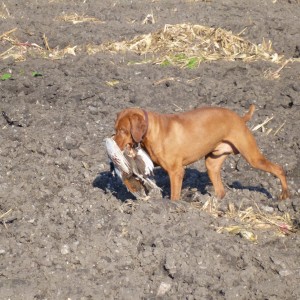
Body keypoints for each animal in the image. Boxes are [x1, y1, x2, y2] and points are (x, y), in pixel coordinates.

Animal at [113, 105, 288, 202]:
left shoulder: (176, 172)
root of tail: (240, 118)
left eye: (122, 130)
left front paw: (172, 206)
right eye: (116, 129)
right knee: (221, 191)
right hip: (212, 164)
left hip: (253, 157)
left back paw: (285, 195)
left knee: (279, 169)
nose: (113, 143)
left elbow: (174, 195)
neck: (153, 130)